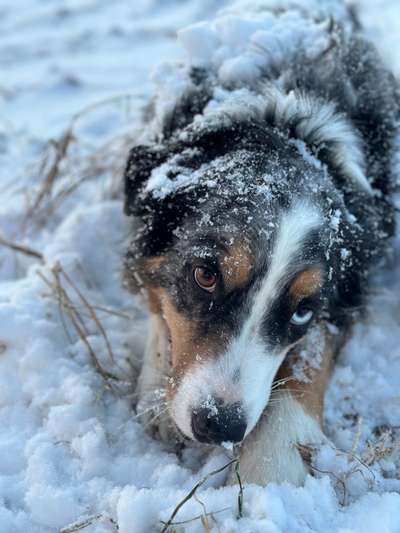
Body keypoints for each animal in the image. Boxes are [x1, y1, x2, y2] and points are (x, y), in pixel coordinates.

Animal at [123, 0, 398, 484]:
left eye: (303, 309)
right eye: (205, 275)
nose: (219, 426)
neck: (287, 123)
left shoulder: (346, 293)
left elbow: (309, 359)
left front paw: (272, 463)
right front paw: (157, 386)